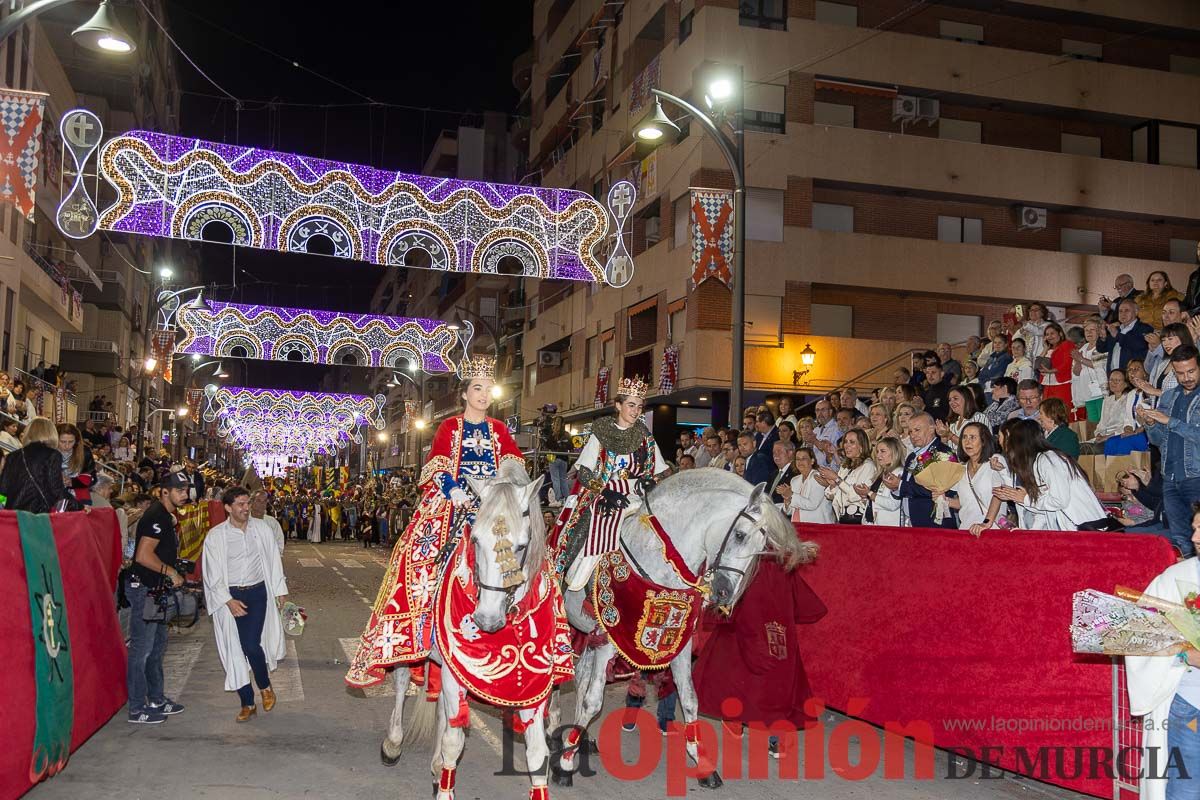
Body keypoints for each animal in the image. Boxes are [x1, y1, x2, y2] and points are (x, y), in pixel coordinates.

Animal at [374, 462, 556, 800]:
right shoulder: (454, 671)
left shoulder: (534, 686)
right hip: (409, 645)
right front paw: (445, 789)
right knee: (403, 683)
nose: (486, 619)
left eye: (522, 546)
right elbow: (453, 741)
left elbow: (538, 755)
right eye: (476, 541)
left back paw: (434, 768)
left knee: (442, 711)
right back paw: (392, 745)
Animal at [549, 472, 811, 791]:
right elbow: (592, 700)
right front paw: (564, 765)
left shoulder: (678, 645)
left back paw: (580, 739)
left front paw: (703, 764)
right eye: (739, 535)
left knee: (582, 675)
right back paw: (556, 734)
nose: (725, 594)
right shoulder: (609, 640)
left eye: (762, 547)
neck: (658, 562)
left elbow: (689, 699)